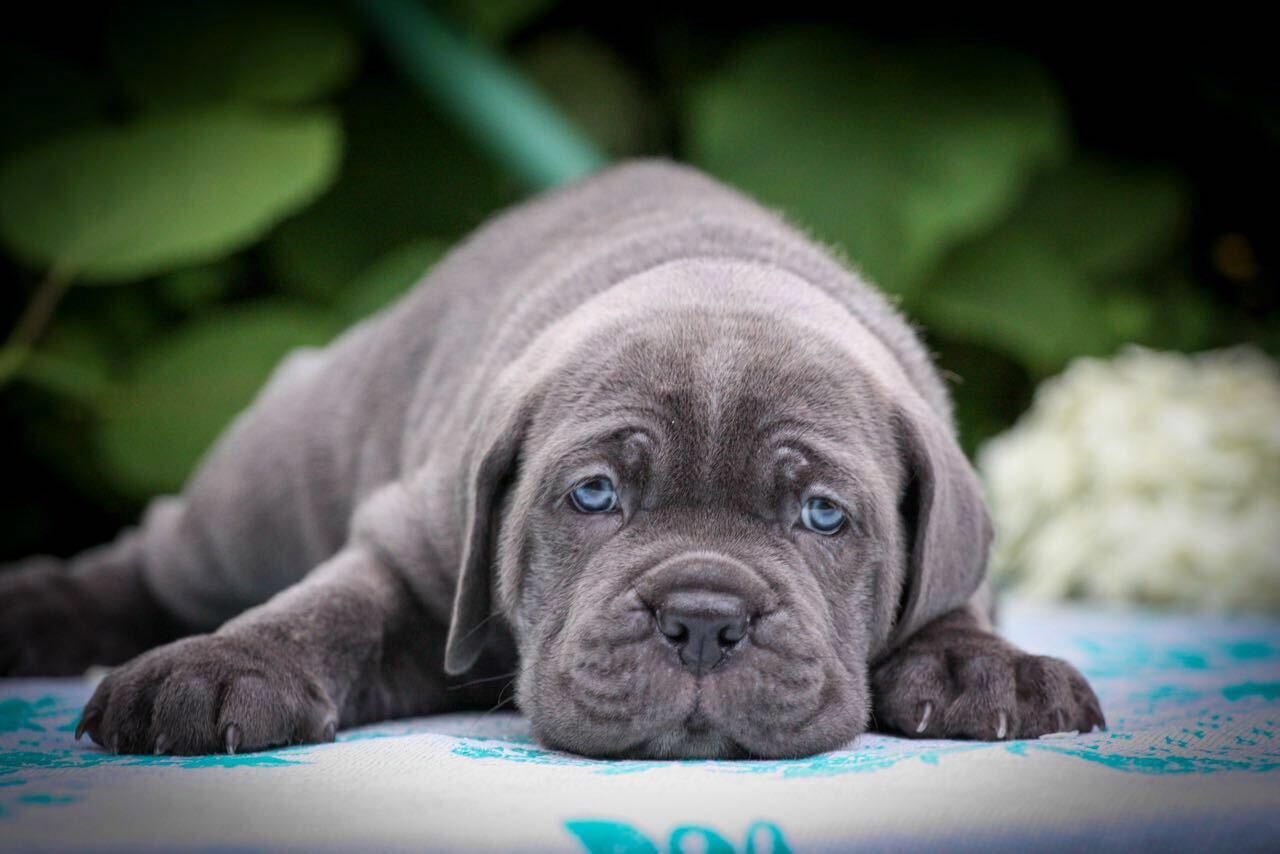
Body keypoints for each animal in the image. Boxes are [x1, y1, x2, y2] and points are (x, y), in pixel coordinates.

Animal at [0, 161, 1104, 758]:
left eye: (824, 515)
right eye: (595, 494)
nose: (703, 619)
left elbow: (955, 602)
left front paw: (980, 666)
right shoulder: (412, 544)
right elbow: (329, 606)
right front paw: (226, 666)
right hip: (259, 491)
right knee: (153, 558)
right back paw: (39, 612)